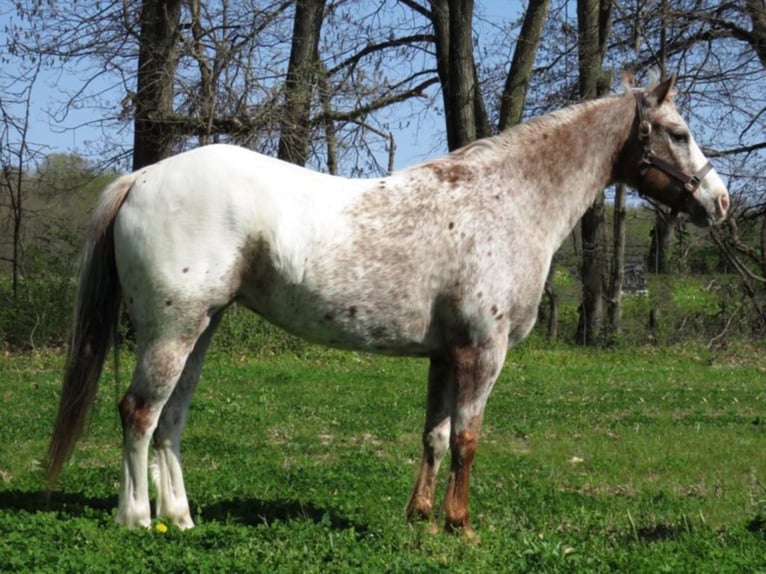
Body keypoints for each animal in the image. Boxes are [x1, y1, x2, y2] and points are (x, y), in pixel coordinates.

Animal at [48, 79, 732, 544]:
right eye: (678, 132)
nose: (721, 202)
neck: (506, 199)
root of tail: (142, 178)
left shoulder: (446, 355)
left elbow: (434, 436)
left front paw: (421, 518)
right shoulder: (483, 353)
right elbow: (468, 439)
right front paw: (461, 526)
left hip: (202, 328)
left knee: (170, 420)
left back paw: (182, 518)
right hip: (173, 328)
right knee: (138, 413)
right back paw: (137, 518)